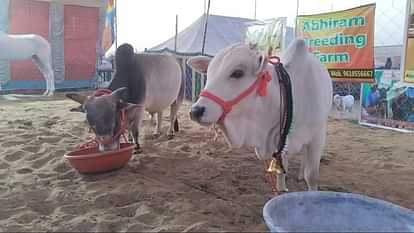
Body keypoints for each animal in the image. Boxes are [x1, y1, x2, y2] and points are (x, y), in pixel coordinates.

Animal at [188, 38, 334, 191]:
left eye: (237, 73)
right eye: (208, 73)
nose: (195, 111)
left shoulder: (317, 136)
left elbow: (311, 176)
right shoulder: (279, 143)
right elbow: (281, 172)